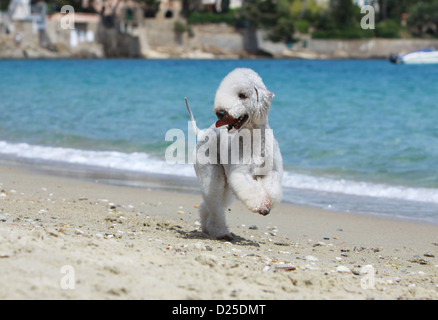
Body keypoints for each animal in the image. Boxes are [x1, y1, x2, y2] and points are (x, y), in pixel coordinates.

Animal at [188, 68, 284, 240]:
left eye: (242, 95)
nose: (220, 112)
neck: (253, 137)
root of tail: (202, 133)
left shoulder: (272, 171)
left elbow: (272, 189)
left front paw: (268, 204)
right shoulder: (240, 173)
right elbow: (250, 190)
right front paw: (261, 205)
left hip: (225, 187)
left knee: (208, 206)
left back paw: (206, 226)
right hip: (212, 176)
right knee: (215, 206)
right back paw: (220, 232)